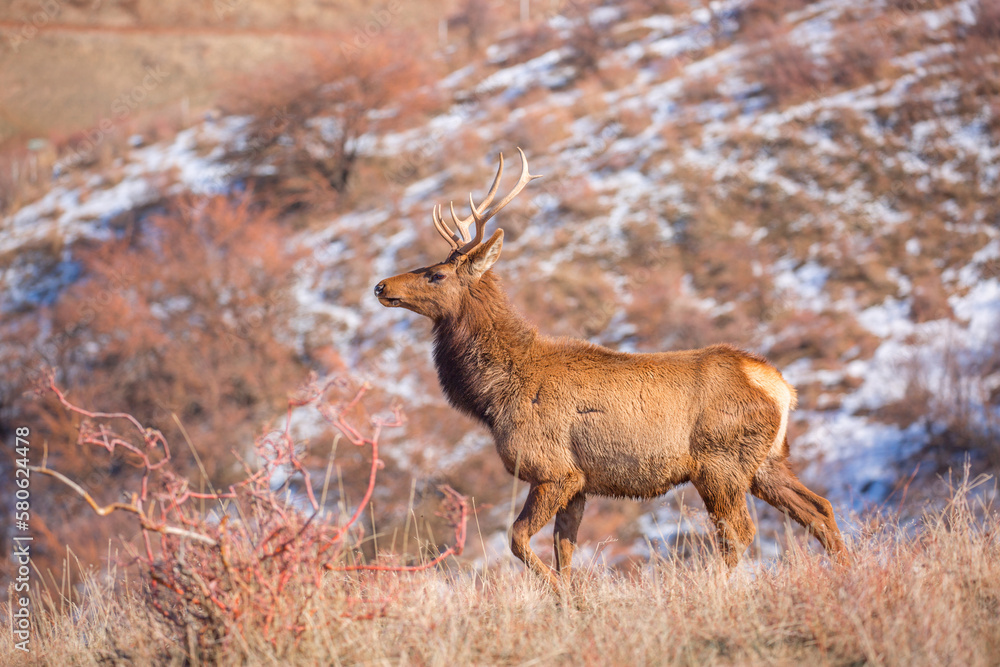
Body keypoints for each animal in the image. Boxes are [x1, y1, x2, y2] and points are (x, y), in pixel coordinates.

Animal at [374, 149, 848, 587]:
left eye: (435, 274)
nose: (381, 286)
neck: (492, 398)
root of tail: (779, 386)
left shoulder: (553, 469)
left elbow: (519, 540)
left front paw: (560, 596)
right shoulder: (580, 483)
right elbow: (564, 551)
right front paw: (572, 598)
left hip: (720, 462)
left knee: (740, 532)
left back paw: (710, 585)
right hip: (767, 461)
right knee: (819, 508)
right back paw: (846, 571)